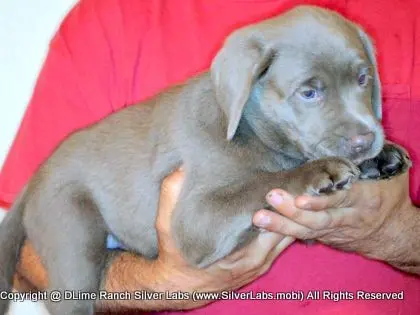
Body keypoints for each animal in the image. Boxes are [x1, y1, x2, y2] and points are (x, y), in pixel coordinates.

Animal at [0, 4, 410, 315]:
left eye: (363, 79)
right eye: (309, 92)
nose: (365, 140)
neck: (250, 129)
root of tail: (34, 179)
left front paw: (382, 158)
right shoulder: (197, 218)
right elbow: (261, 181)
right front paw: (316, 172)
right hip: (72, 238)